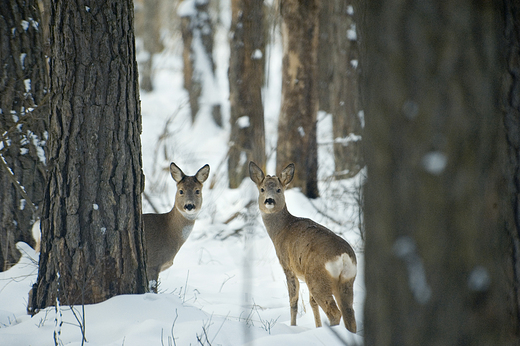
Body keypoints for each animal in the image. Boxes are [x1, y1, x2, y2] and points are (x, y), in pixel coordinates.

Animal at [249, 162, 358, 332]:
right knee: (349, 314)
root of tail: (343, 256)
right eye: (262, 189)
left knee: (334, 312)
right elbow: (312, 303)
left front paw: (293, 326)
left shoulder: (288, 266)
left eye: (279, 189)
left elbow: (293, 300)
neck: (282, 229)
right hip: (346, 280)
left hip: (318, 278)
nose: (269, 200)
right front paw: (317, 326)